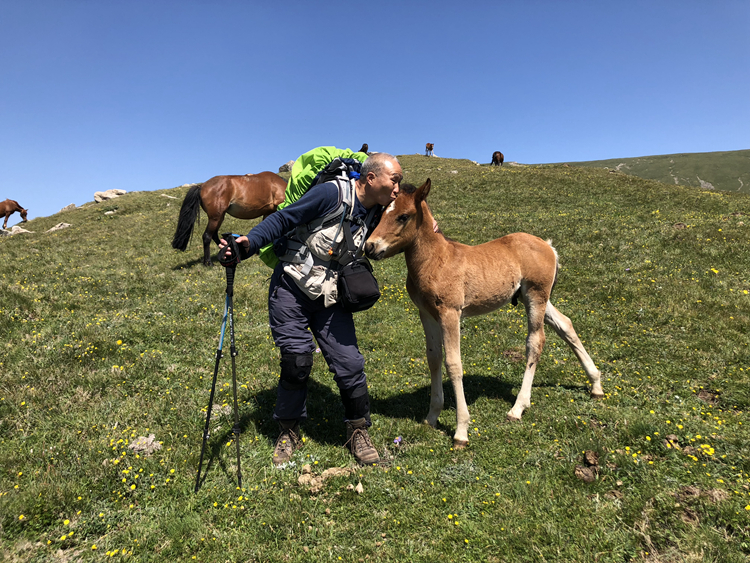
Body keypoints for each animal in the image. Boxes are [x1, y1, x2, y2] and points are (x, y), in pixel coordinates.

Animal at [364, 181, 604, 450]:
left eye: (403, 216)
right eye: (381, 213)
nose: (369, 246)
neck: (436, 260)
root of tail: (548, 245)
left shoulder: (450, 313)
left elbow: (453, 364)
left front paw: (461, 431)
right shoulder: (426, 313)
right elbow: (434, 359)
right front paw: (431, 417)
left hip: (535, 295)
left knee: (535, 342)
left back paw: (518, 408)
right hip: (534, 297)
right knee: (566, 325)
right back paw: (595, 384)